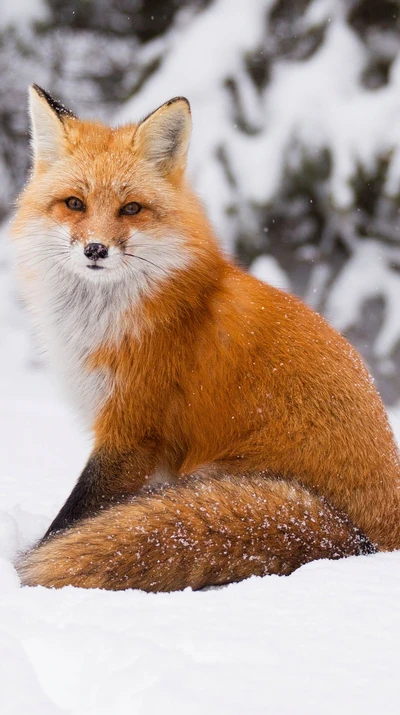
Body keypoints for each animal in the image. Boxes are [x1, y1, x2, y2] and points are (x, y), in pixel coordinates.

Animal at [11, 84, 400, 592]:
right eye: (75, 203)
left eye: (131, 209)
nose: (96, 249)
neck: (105, 320)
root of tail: (363, 542)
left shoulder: (133, 429)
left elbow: (72, 518)